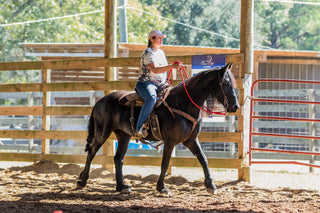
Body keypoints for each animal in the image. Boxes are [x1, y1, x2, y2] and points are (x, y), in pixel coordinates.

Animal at [77, 63, 238, 195]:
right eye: (226, 82)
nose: (235, 106)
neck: (182, 103)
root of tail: (100, 101)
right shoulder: (170, 141)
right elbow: (165, 163)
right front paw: (162, 187)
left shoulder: (190, 140)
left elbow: (203, 158)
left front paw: (211, 185)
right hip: (102, 132)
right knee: (91, 151)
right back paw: (82, 181)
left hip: (123, 136)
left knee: (118, 158)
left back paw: (121, 186)